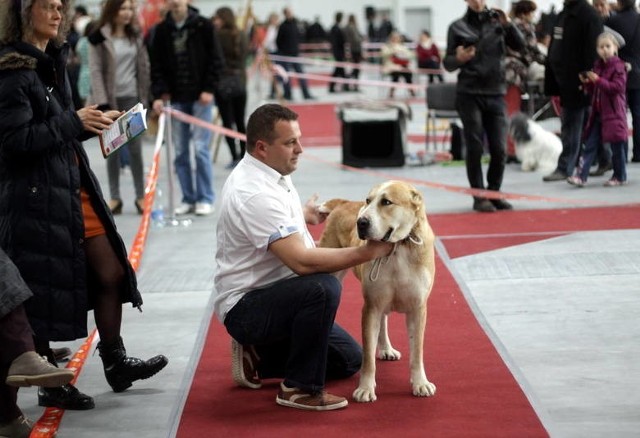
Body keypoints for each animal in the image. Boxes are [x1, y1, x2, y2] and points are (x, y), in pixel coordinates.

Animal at [318, 180, 438, 402]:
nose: (361, 222)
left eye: (387, 202)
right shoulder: (371, 306)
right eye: (368, 200)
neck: (398, 247)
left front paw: (420, 384)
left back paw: (387, 349)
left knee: (384, 319)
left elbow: (417, 352)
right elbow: (367, 356)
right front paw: (365, 388)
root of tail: (344, 202)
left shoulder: (418, 309)